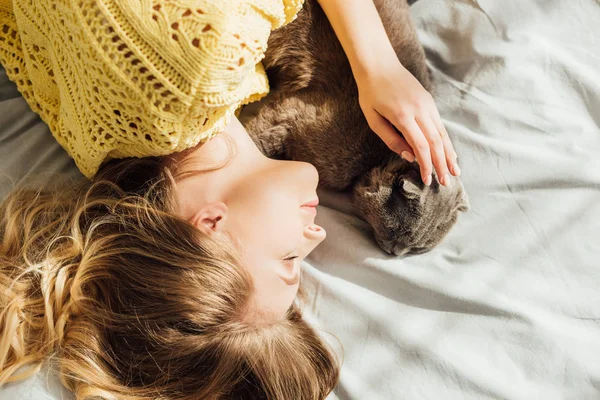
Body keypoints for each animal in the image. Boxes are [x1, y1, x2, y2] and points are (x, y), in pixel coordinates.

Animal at [239, 0, 468, 256]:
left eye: (417, 248)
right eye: (397, 232)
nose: (396, 253)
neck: (378, 159)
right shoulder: (290, 115)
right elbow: (256, 144)